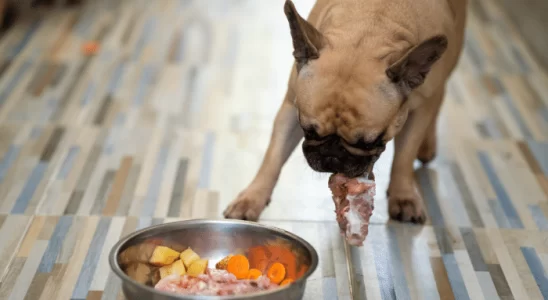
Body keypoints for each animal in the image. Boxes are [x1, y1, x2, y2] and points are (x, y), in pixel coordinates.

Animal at [223, 0, 466, 224]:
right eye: (308, 131)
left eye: (369, 143)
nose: (332, 154)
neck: (372, 31)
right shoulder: (291, 108)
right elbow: (273, 156)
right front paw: (251, 198)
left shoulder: (418, 112)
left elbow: (404, 158)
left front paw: (403, 196)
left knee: (439, 98)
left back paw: (427, 146)